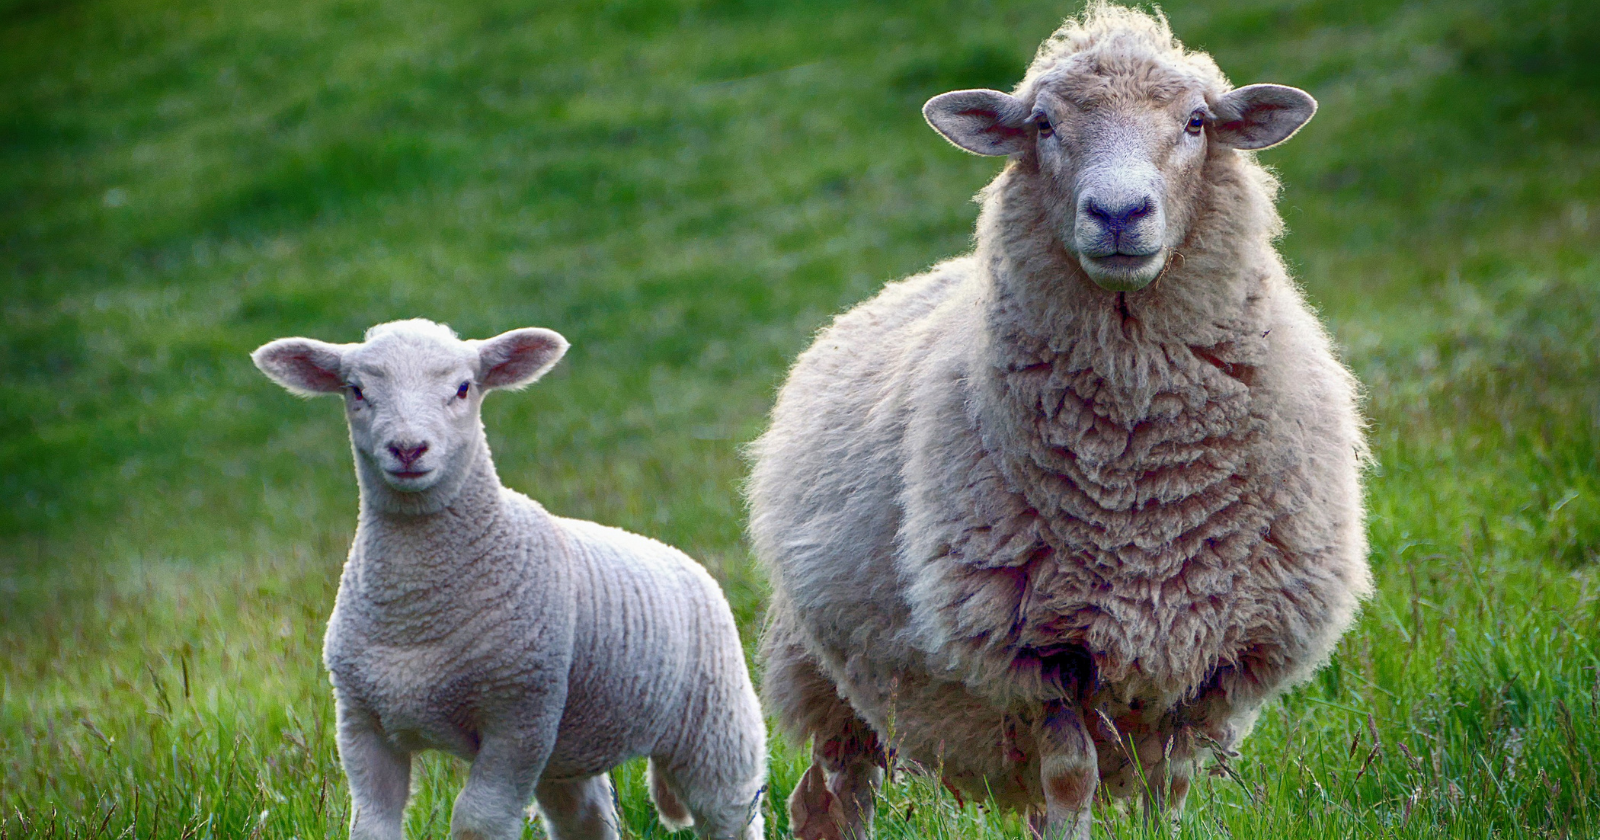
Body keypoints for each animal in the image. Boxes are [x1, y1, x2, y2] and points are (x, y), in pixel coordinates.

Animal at [252, 319, 767, 840]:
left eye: (463, 388)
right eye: (356, 390)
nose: (408, 449)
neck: (415, 610)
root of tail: (684, 560)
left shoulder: (519, 716)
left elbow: (478, 819)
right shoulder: (361, 722)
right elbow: (373, 824)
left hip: (717, 723)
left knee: (730, 812)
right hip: (568, 750)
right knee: (585, 819)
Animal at [746, 4, 1370, 838]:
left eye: (1197, 121)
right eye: (1043, 124)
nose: (1118, 213)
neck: (1142, 485)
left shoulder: (1209, 656)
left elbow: (1167, 789)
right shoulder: (1041, 658)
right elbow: (1071, 782)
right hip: (825, 677)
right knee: (829, 797)